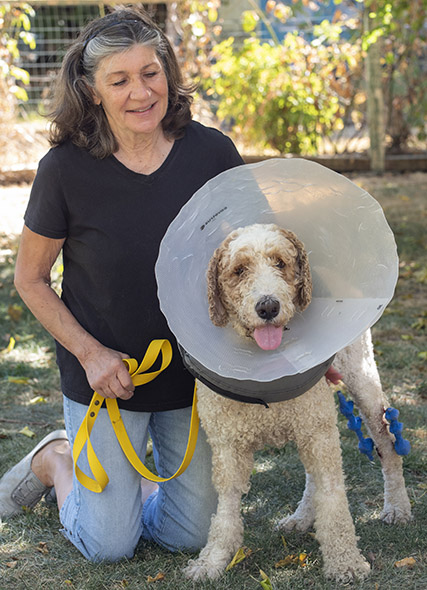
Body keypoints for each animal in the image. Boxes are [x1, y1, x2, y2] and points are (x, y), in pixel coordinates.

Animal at [184, 224, 412, 584]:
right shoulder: (227, 445)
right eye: (239, 270)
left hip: (359, 379)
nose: (267, 307)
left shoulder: (318, 430)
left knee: (387, 445)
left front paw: (345, 562)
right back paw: (301, 518)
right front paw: (212, 562)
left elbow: (333, 498)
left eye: (280, 263)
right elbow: (226, 510)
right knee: (312, 474)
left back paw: (397, 507)